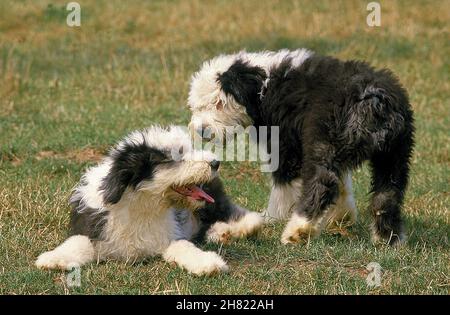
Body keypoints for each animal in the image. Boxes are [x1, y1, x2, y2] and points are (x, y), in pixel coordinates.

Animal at [37, 126, 264, 276]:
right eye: (176, 155)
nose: (216, 163)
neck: (143, 203)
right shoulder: (92, 225)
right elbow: (78, 241)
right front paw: (52, 259)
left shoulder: (171, 234)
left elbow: (184, 247)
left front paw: (209, 263)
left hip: (212, 200)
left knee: (234, 213)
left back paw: (239, 228)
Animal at [187, 50, 414, 247]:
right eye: (197, 107)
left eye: (219, 103)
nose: (201, 130)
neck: (264, 88)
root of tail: (373, 99)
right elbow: (343, 184)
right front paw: (342, 216)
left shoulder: (285, 146)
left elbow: (283, 185)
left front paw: (272, 217)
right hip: (394, 155)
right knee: (387, 194)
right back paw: (387, 238)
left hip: (325, 142)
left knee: (322, 183)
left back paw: (297, 230)